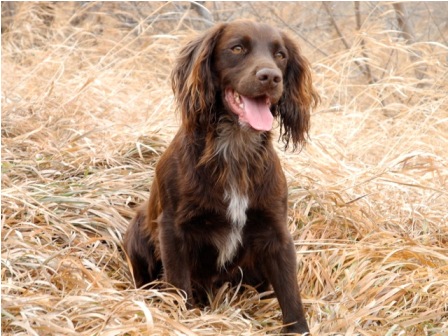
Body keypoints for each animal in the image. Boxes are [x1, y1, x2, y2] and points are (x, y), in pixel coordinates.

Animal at [122, 20, 318, 334]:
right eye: (236, 48)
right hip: (138, 228)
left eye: (280, 55)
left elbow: (291, 295)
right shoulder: (172, 228)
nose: (270, 77)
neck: (235, 149)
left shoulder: (277, 232)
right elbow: (179, 286)